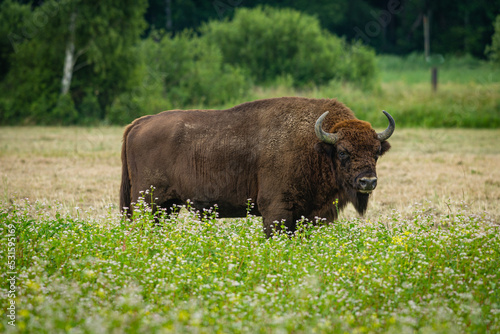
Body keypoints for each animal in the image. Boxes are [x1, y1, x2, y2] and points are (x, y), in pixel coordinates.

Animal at [121, 96, 394, 237]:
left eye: (376, 152)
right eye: (343, 152)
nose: (368, 182)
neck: (315, 145)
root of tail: (139, 123)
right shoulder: (276, 210)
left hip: (166, 207)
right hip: (148, 203)